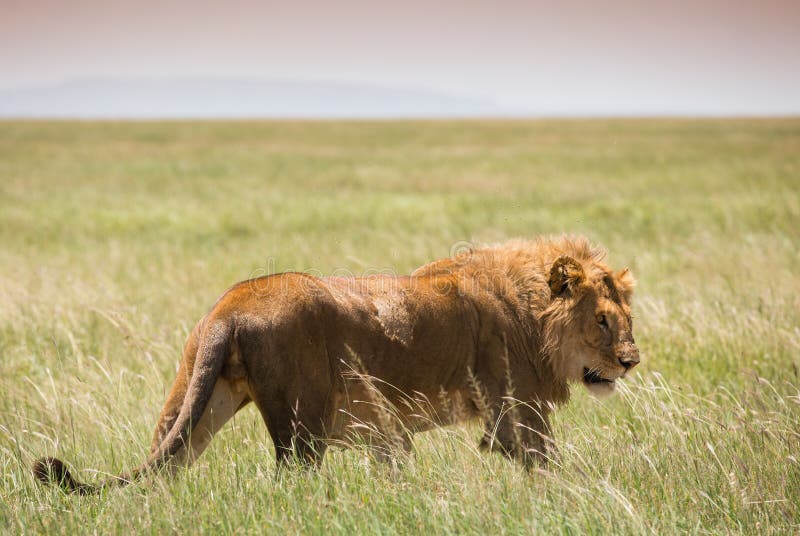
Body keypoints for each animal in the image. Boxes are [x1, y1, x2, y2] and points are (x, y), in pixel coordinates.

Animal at [34, 234, 640, 494]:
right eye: (602, 320)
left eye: (626, 318)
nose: (631, 361)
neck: (531, 311)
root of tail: (231, 309)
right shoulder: (516, 413)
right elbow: (550, 465)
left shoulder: (387, 431)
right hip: (302, 425)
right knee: (291, 481)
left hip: (195, 399)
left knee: (167, 460)